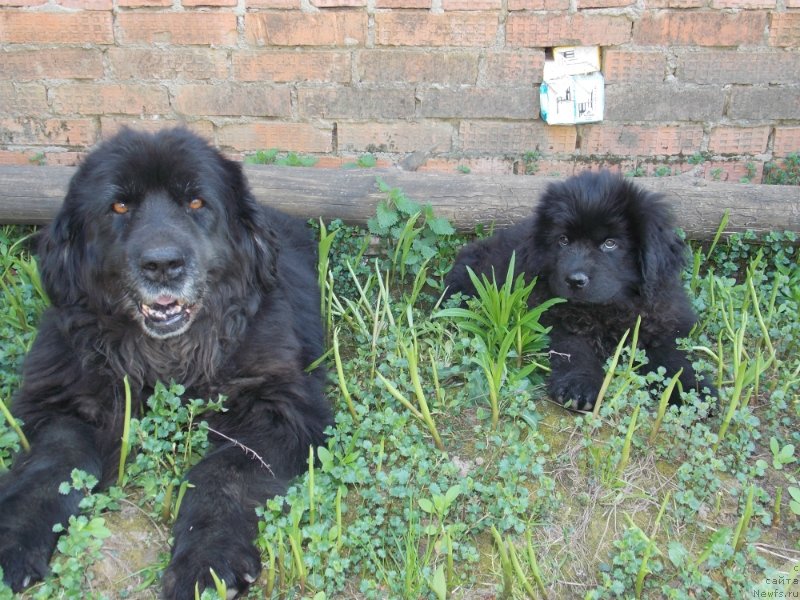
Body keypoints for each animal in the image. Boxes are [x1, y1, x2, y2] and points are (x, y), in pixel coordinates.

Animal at [0, 126, 332, 596]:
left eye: (196, 203)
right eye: (119, 206)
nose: (162, 264)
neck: (168, 356)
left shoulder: (275, 404)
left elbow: (222, 473)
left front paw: (207, 561)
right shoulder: (63, 397)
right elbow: (50, 464)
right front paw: (14, 538)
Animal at [446, 169, 716, 412]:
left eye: (610, 243)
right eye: (563, 240)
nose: (575, 280)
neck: (608, 309)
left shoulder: (661, 319)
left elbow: (674, 357)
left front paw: (693, 391)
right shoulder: (555, 320)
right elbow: (574, 351)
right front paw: (580, 387)